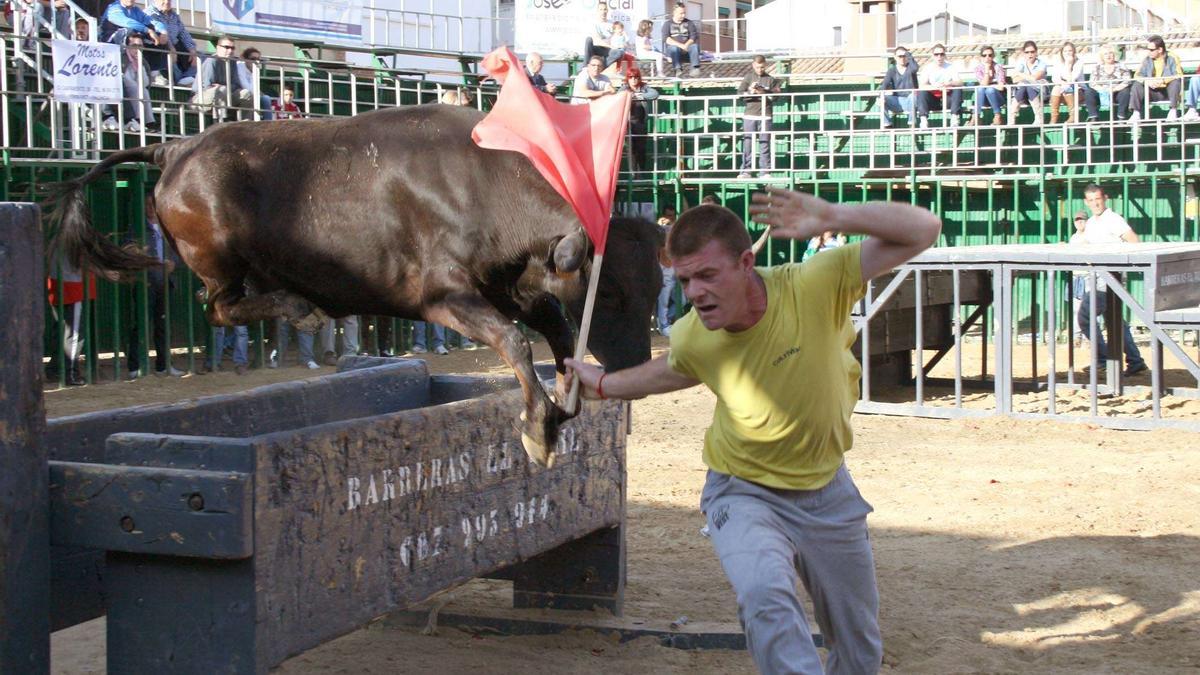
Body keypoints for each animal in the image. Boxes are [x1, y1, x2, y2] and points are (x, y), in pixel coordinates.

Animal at [44, 105, 667, 466]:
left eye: (657, 283)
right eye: (611, 293)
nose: (638, 364)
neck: (477, 185)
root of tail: (175, 148)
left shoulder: (514, 290)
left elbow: (558, 335)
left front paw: (561, 405)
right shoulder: (444, 299)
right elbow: (515, 341)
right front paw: (539, 427)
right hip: (218, 260)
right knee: (218, 307)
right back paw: (301, 308)